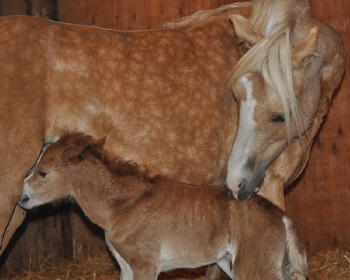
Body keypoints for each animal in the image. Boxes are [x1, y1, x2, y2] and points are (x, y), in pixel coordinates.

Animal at [19, 134, 308, 280]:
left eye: (43, 173)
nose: (22, 199)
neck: (122, 205)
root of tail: (281, 216)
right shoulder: (127, 267)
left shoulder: (145, 264)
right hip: (235, 263)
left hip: (255, 266)